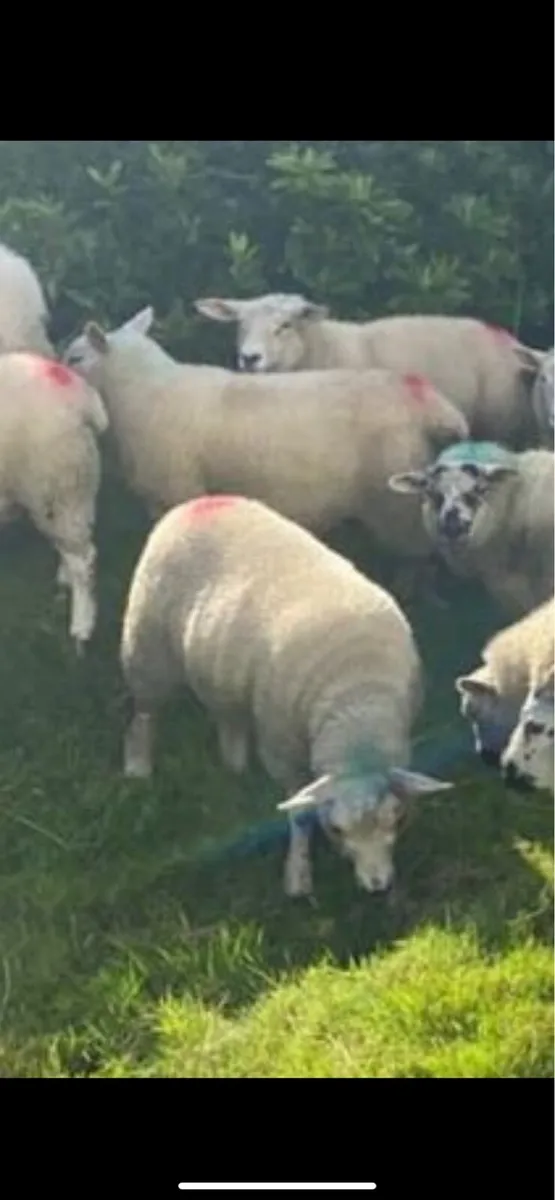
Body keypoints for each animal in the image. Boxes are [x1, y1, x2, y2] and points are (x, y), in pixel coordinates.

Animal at [62, 306, 469, 602]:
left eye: (75, 358)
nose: (54, 369)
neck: (141, 392)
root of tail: (430, 403)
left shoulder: (177, 492)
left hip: (397, 506)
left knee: (419, 559)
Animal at [120, 493, 453, 896]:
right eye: (336, 828)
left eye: (396, 818)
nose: (377, 887)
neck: (355, 704)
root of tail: (200, 502)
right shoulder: (280, 746)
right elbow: (298, 812)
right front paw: (298, 874)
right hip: (147, 644)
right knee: (145, 713)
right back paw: (138, 766)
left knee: (226, 711)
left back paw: (234, 760)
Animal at [194, 293, 545, 448]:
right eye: (241, 325)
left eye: (285, 326)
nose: (249, 358)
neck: (325, 347)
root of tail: (507, 337)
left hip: (502, 425)